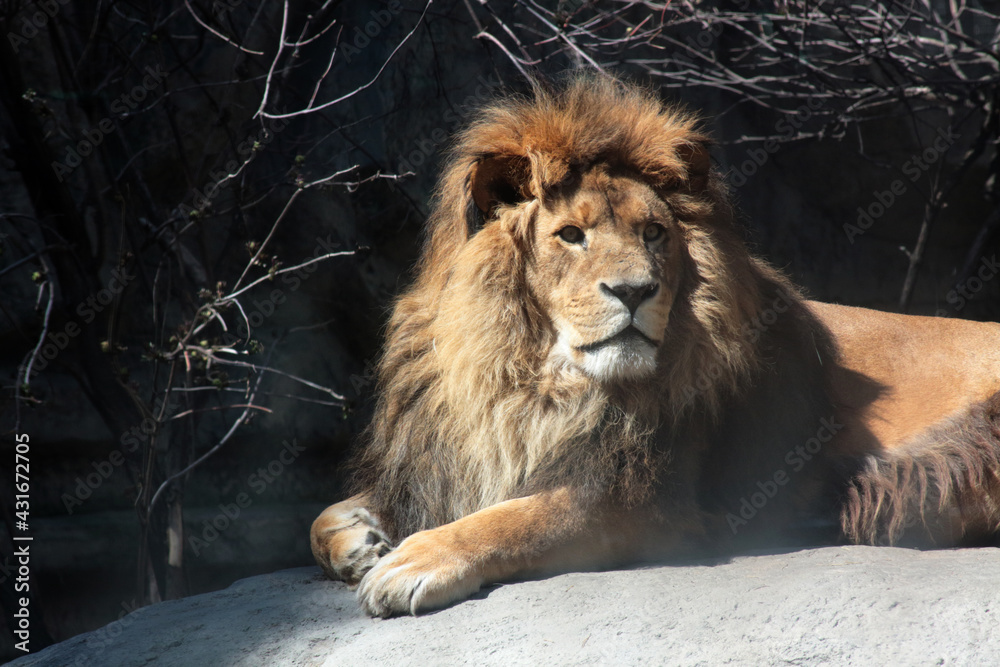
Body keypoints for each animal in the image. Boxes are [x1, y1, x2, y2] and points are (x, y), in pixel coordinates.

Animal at [311, 75, 1000, 617]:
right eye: (571, 235)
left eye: (653, 233)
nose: (635, 290)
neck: (528, 382)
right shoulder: (440, 460)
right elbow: (322, 517)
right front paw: (360, 542)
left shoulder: (641, 503)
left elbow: (518, 518)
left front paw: (413, 562)